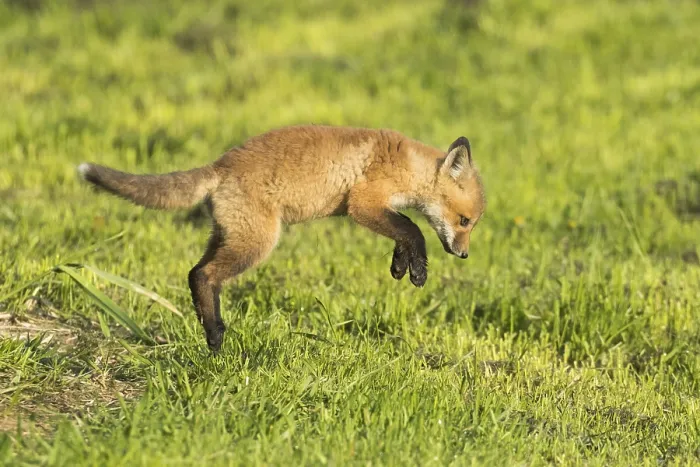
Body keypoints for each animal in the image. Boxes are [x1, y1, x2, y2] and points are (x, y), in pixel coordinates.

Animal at [77, 125, 486, 352]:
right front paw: (417, 269)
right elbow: (413, 229)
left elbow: (403, 233)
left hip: (227, 237)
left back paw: (212, 331)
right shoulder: (363, 203)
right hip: (257, 244)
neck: (406, 165)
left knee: (195, 272)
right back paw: (215, 334)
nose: (464, 255)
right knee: (203, 275)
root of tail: (220, 165)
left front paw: (401, 266)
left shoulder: (379, 209)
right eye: (464, 221)